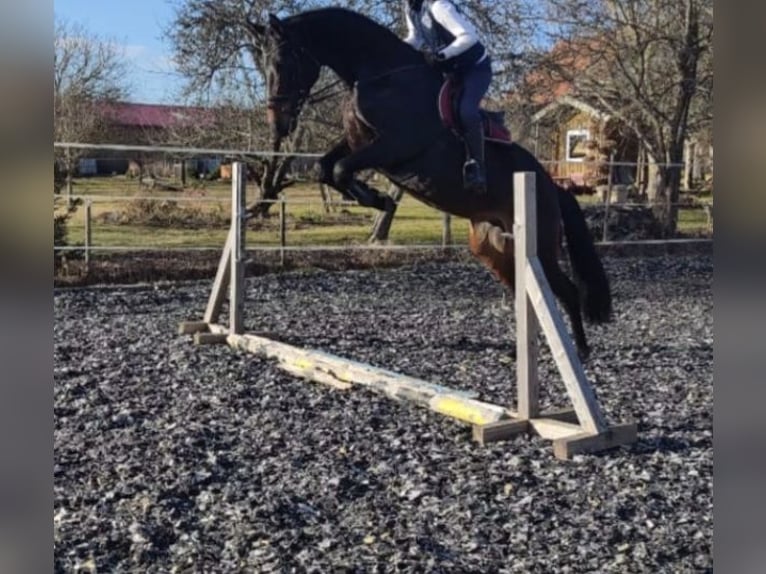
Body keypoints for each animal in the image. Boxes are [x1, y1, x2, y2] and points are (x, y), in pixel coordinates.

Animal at [253, 7, 612, 359]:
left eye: (283, 63)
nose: (278, 125)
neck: (379, 75)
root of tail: (553, 188)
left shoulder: (394, 146)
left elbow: (340, 169)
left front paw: (379, 199)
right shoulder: (358, 143)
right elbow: (325, 168)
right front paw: (374, 198)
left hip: (539, 246)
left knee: (566, 289)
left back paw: (579, 351)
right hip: (495, 246)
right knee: (524, 290)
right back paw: (520, 351)